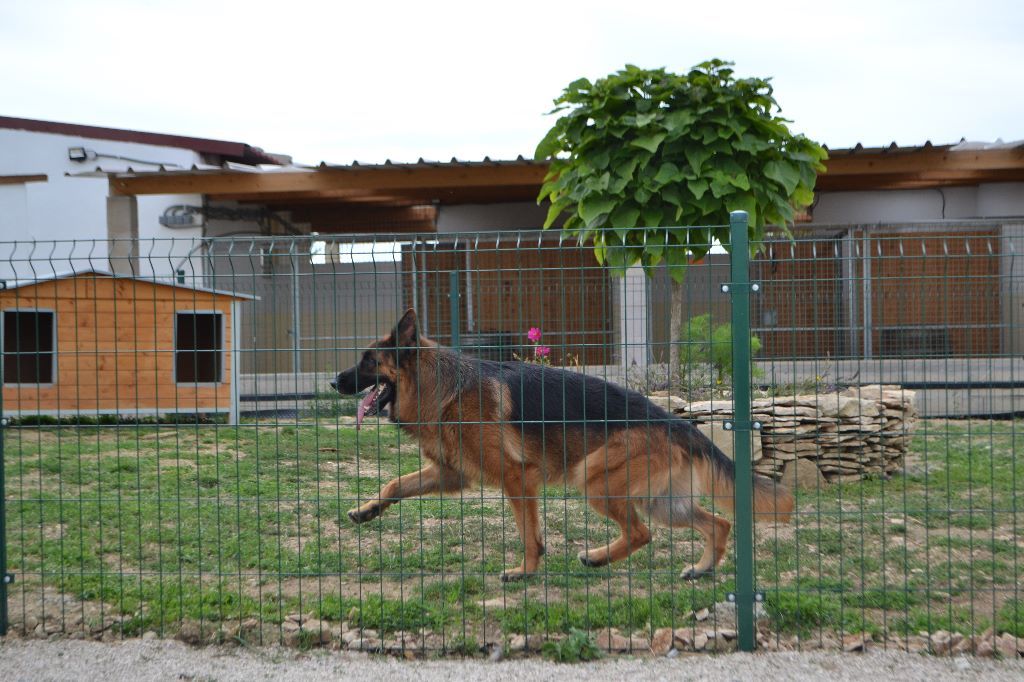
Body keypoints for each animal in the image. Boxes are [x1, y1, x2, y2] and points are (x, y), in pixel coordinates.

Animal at [331, 307, 794, 577]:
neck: (442, 388)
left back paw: (599, 556)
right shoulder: (450, 474)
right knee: (717, 523)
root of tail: (678, 423)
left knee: (642, 533)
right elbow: (395, 483)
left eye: (368, 362)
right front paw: (367, 510)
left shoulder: (517, 479)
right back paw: (700, 568)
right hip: (662, 502)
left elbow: (527, 533)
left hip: (596, 480)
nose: (333, 380)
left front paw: (525, 570)